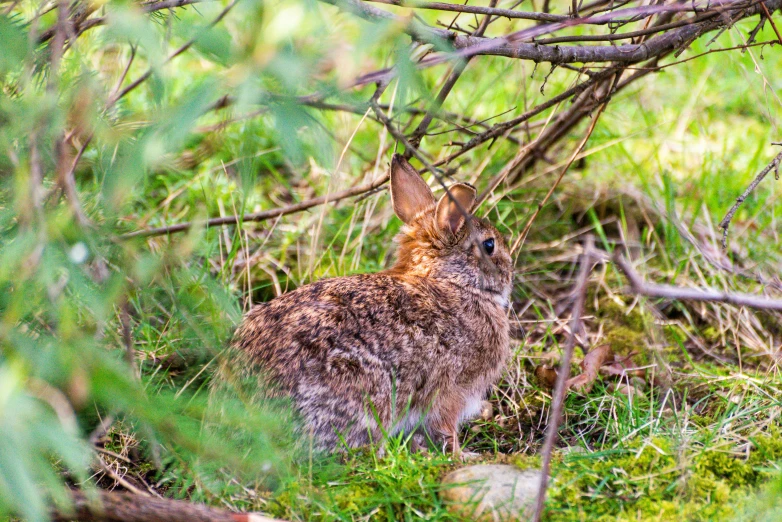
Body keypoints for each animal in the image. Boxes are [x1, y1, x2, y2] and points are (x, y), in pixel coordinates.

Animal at [233, 154, 516, 456]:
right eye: (489, 245)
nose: (509, 275)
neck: (451, 281)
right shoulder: (452, 391)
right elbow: (446, 429)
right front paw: (464, 456)